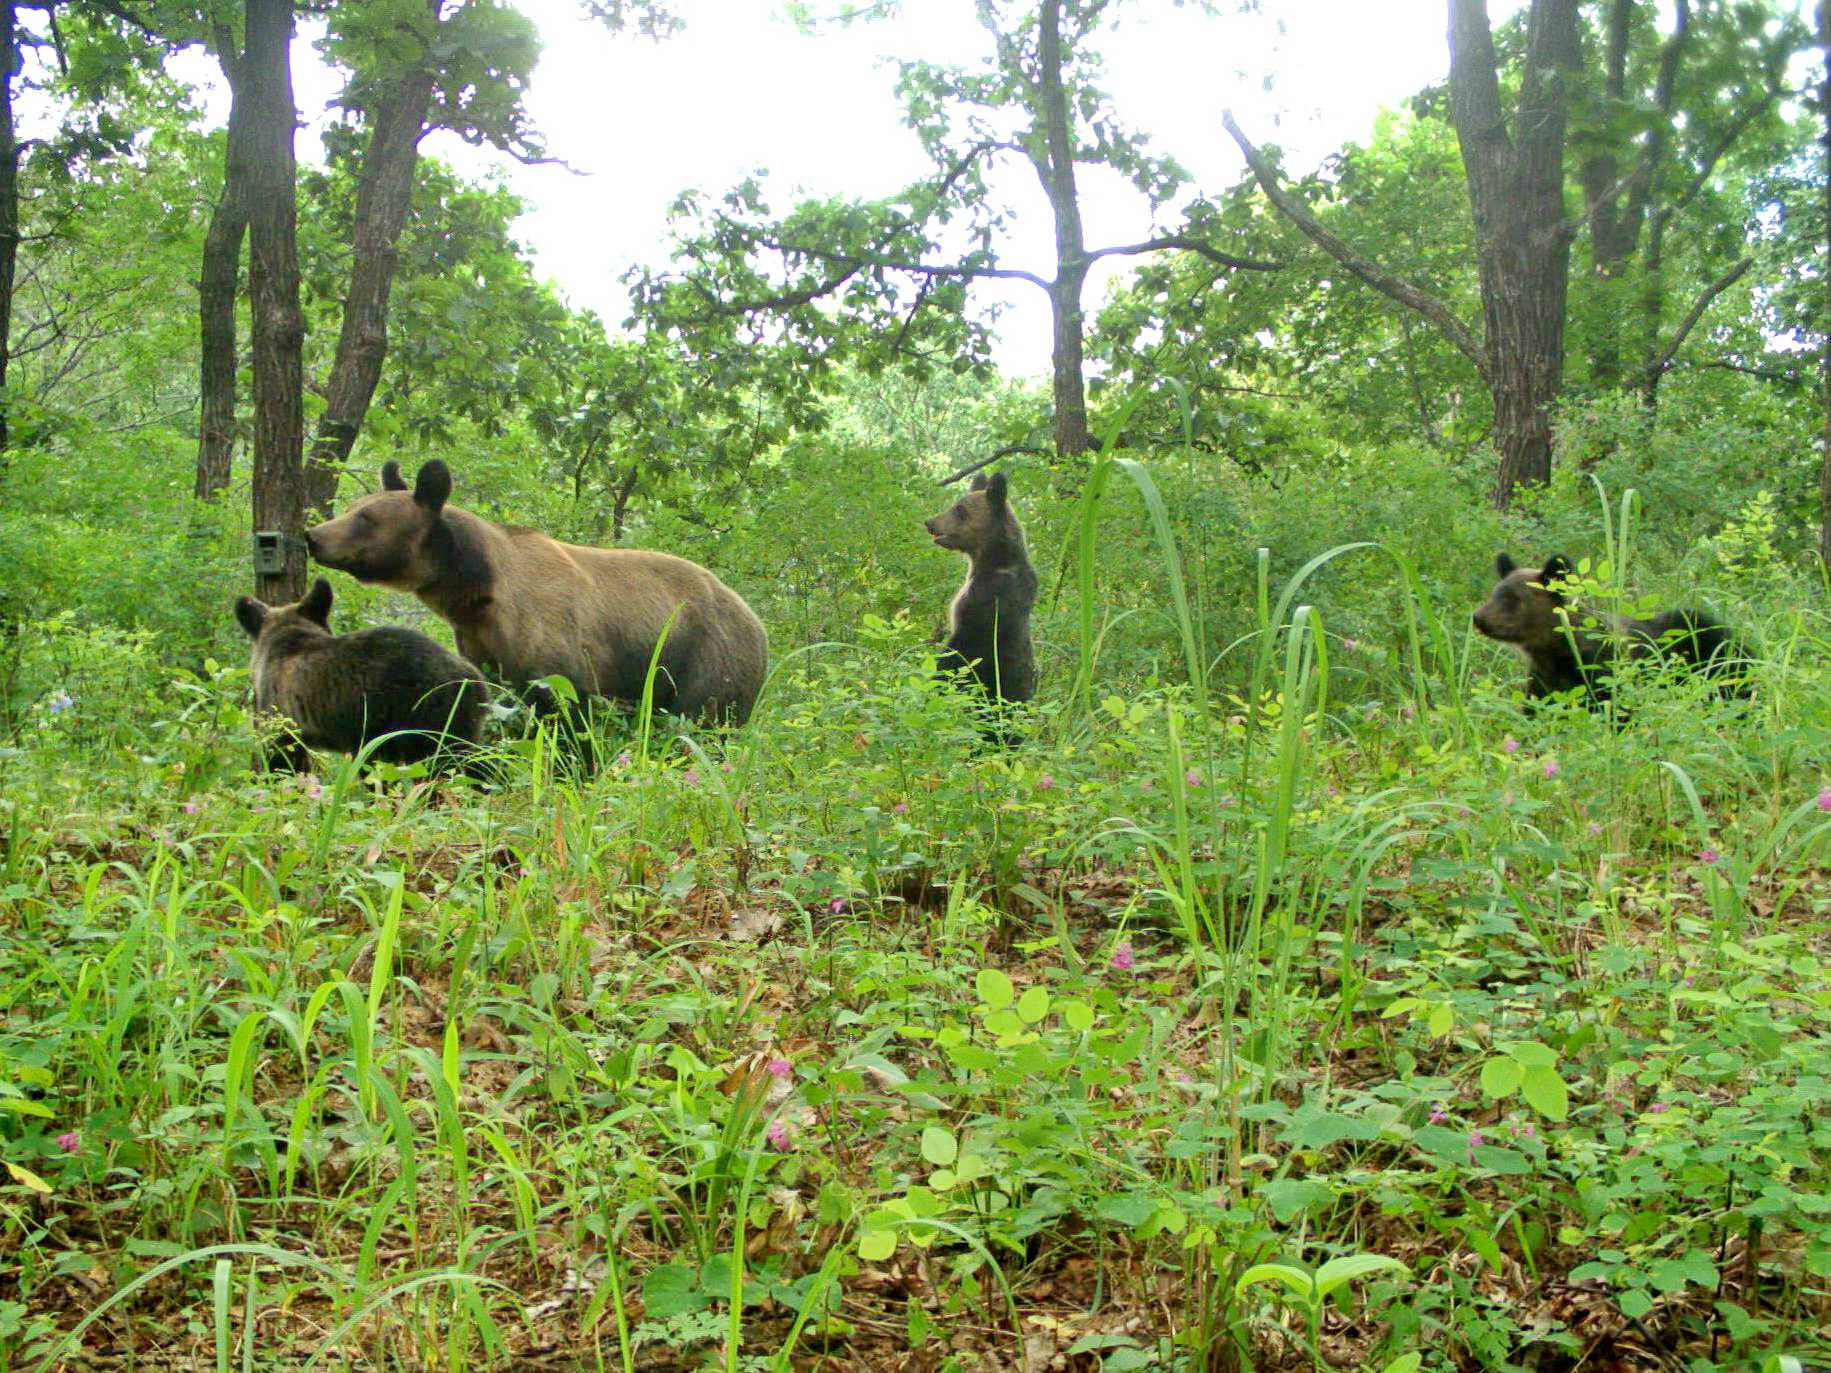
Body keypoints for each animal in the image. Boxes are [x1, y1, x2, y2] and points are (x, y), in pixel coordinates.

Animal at [307, 459, 765, 724]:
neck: (477, 590)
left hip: (704, 656)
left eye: (366, 517)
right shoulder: (481, 643)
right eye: (354, 507)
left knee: (702, 719)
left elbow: (565, 707)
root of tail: (755, 618)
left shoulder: (553, 637)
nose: (313, 536)